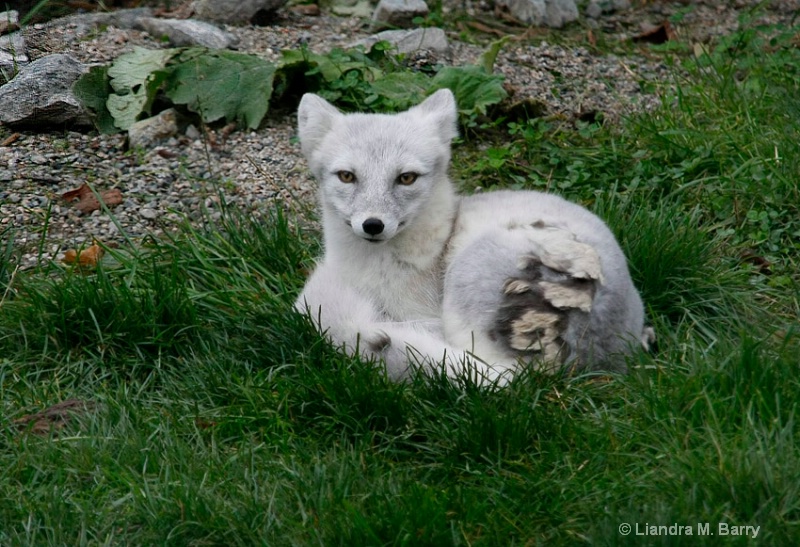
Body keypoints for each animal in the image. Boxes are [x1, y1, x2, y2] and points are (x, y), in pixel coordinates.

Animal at [294, 88, 648, 384]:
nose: (373, 225)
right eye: (347, 176)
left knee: (487, 378)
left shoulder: (419, 313)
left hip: (467, 285)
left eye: (406, 178)